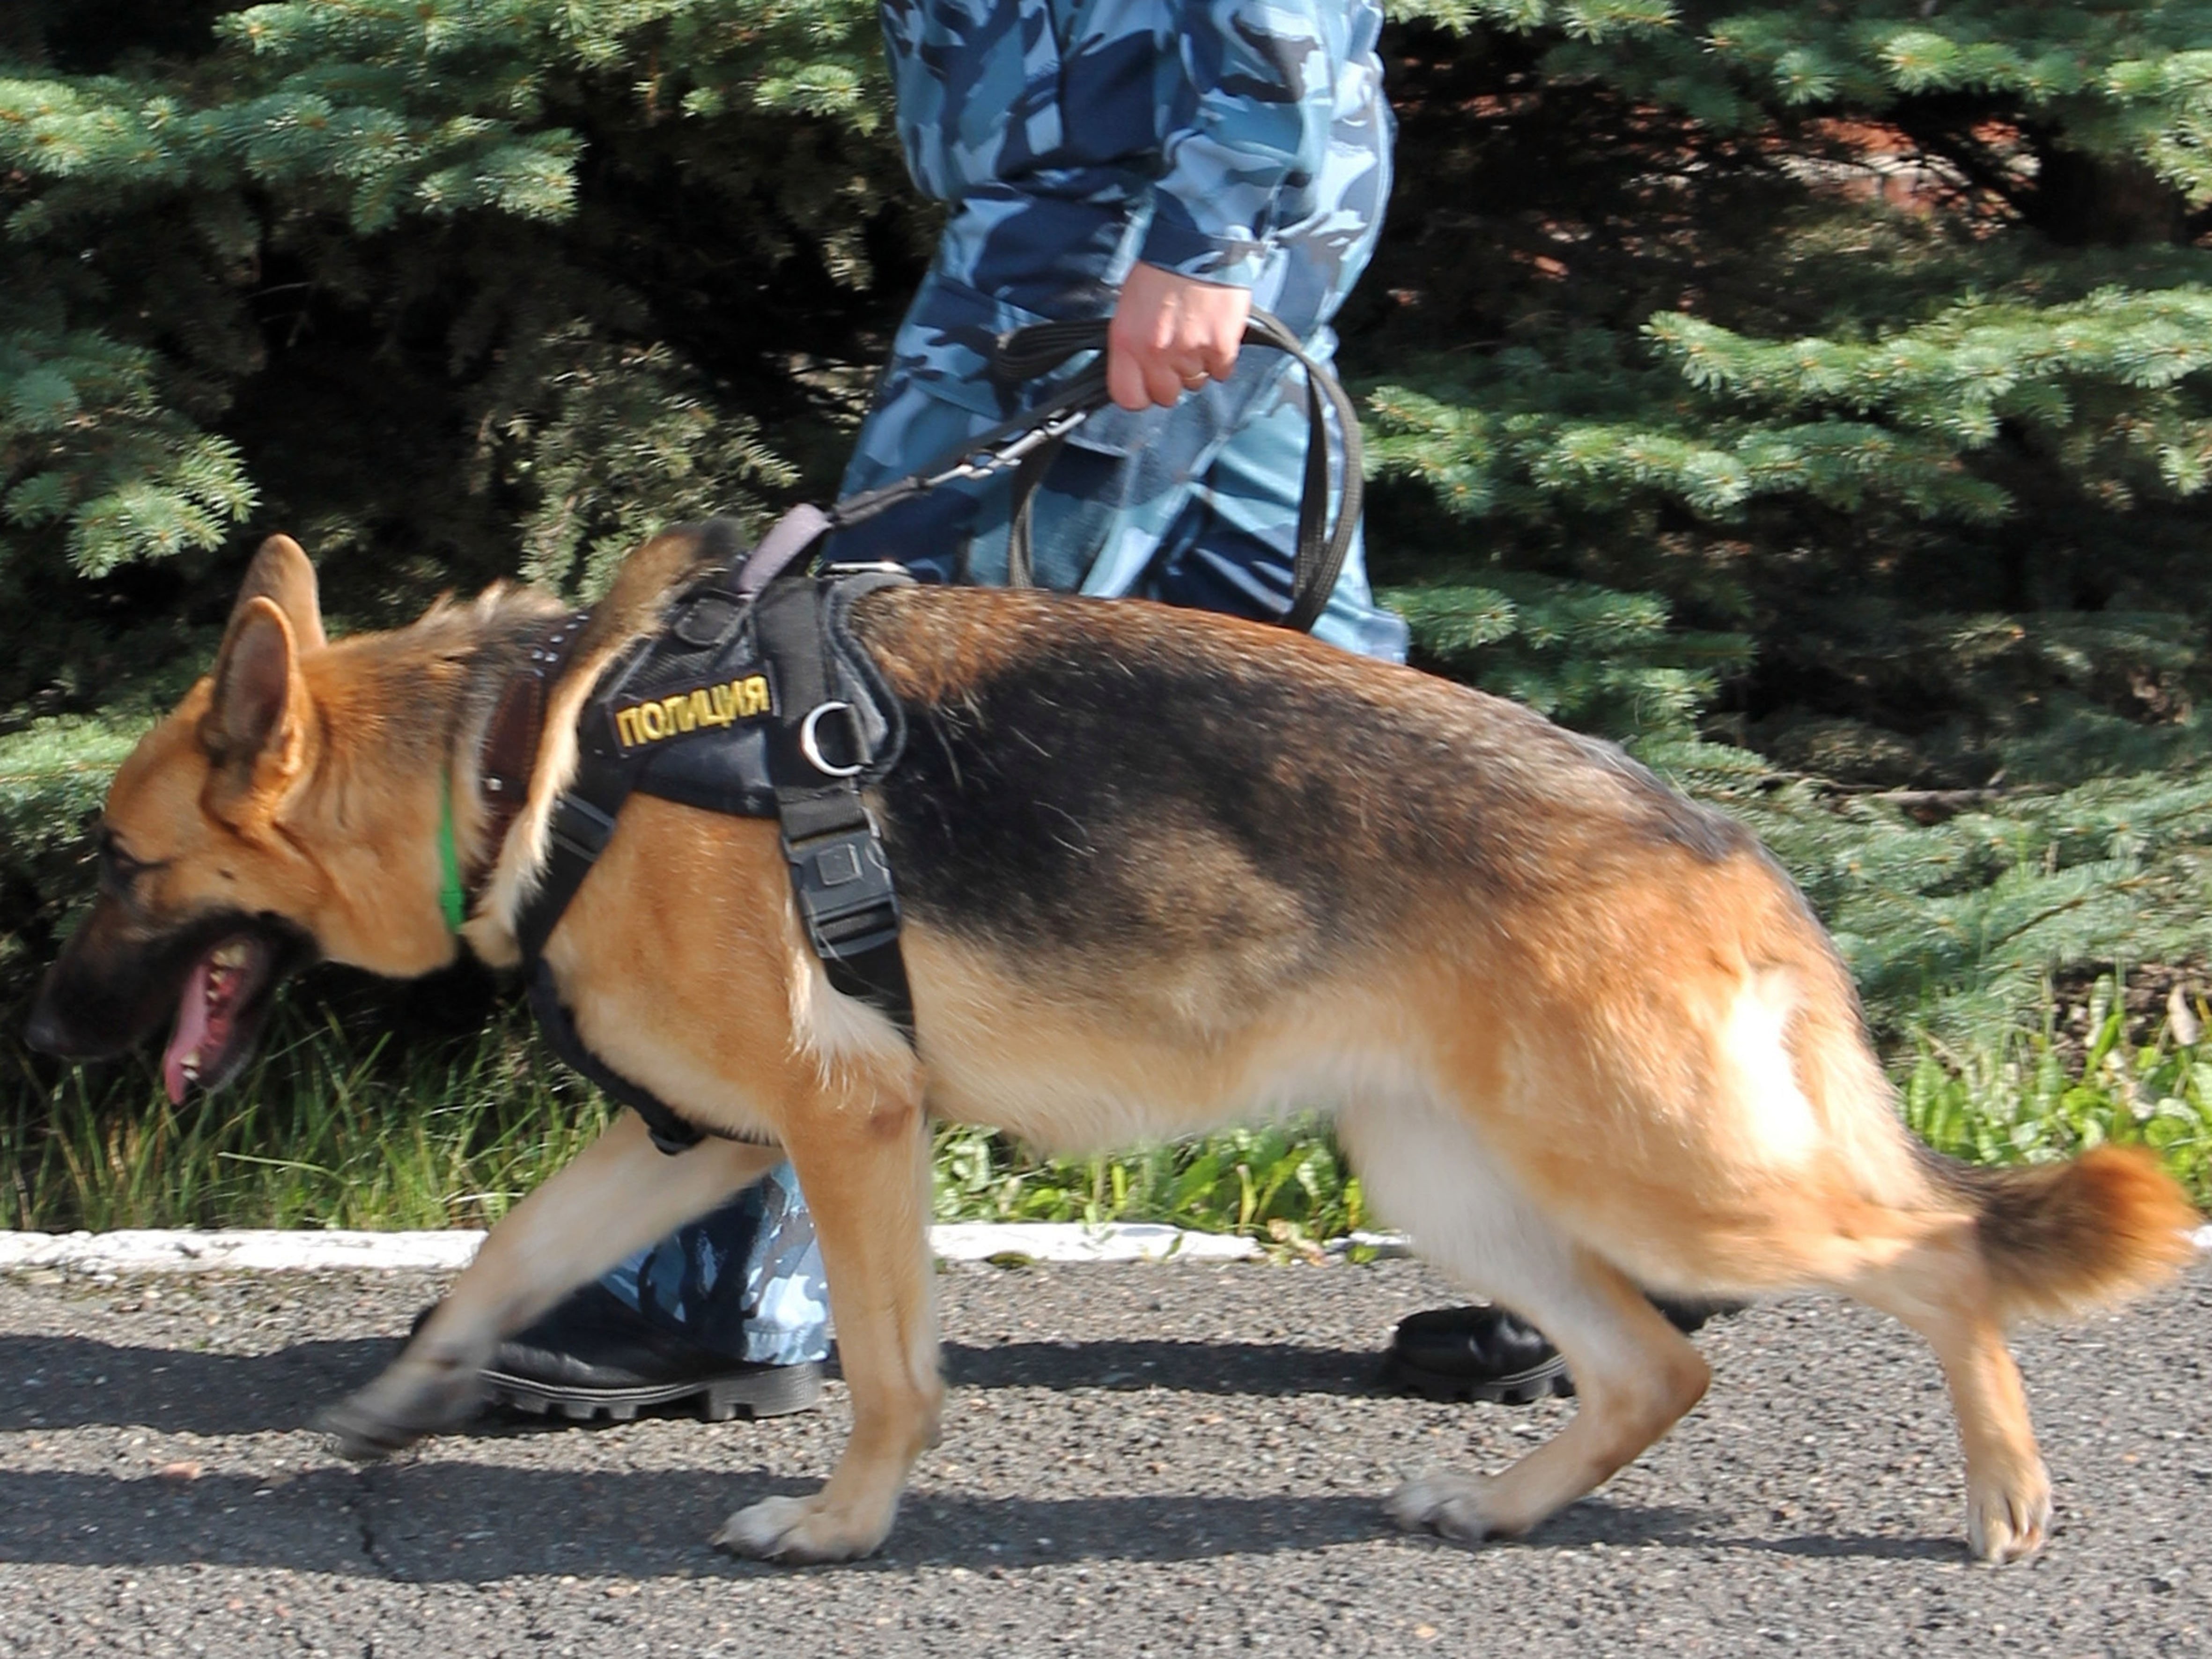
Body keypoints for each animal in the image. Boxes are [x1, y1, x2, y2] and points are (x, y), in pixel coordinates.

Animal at [30, 535, 2194, 1575]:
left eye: (118, 867)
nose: (44, 1034)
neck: (529, 750)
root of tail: (1724, 841)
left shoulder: (844, 1127)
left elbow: (891, 1371)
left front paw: (837, 1530)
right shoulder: (695, 1141)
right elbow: (498, 1259)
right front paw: (410, 1396)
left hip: (1666, 1177)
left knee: (1934, 1260)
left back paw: (2003, 1499)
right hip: (1450, 1180)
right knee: (1657, 1365)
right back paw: (1501, 1510)